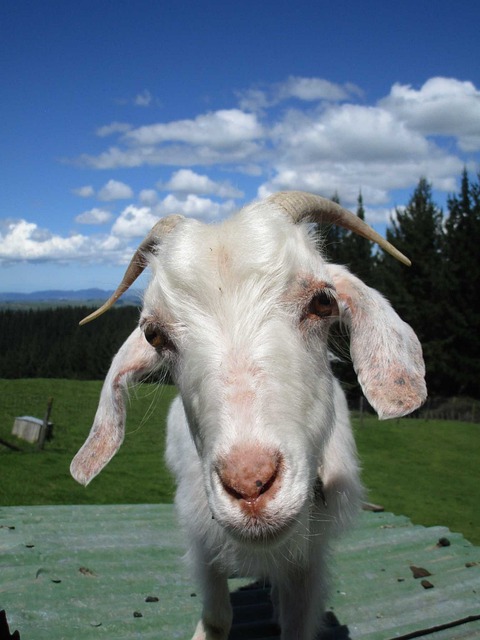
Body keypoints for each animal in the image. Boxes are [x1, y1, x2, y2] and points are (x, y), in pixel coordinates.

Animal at [70, 192, 424, 640]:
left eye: (323, 301)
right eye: (154, 335)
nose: (251, 484)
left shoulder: (310, 557)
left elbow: (297, 621)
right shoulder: (202, 536)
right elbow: (218, 616)